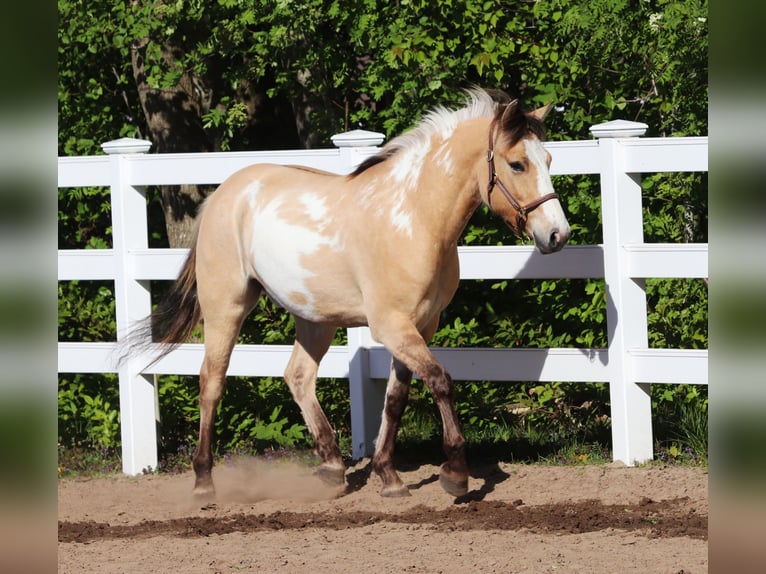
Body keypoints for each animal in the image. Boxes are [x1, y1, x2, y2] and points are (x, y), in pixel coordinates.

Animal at [130, 88, 570, 499]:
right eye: (517, 164)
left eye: (549, 160)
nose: (557, 235)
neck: (413, 219)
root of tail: (221, 195)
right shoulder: (391, 326)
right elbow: (441, 380)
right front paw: (455, 474)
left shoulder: (421, 326)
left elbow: (396, 397)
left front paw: (389, 477)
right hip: (227, 307)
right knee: (212, 382)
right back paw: (204, 483)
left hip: (314, 318)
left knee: (298, 376)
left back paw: (332, 468)